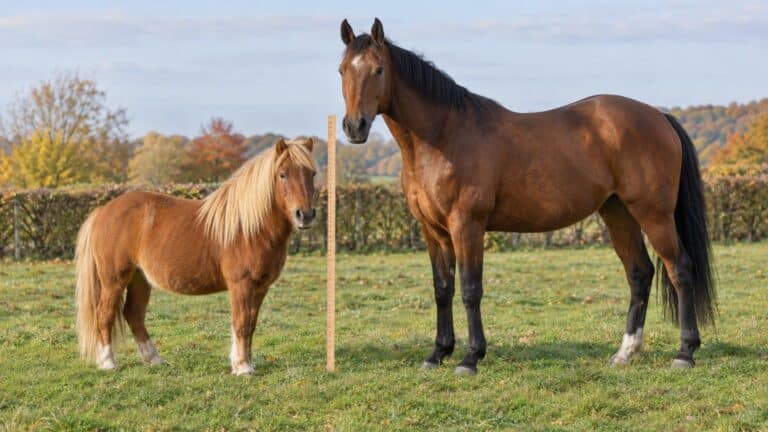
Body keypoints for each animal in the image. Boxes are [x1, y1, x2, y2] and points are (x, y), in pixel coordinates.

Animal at [75, 138, 317, 375]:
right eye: (283, 174)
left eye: (312, 173)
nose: (305, 215)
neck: (249, 228)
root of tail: (102, 211)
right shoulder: (241, 285)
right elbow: (241, 323)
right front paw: (242, 367)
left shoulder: (260, 288)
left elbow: (251, 324)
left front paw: (247, 363)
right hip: (114, 280)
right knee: (105, 314)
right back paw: (108, 363)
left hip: (140, 279)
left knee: (134, 315)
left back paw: (155, 360)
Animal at [337, 19, 716, 375]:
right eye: (342, 70)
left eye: (379, 70)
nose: (355, 127)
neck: (443, 137)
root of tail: (658, 116)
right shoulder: (433, 231)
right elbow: (442, 289)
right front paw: (437, 354)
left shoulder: (467, 226)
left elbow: (470, 289)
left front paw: (471, 358)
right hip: (618, 213)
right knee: (640, 273)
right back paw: (625, 353)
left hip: (653, 214)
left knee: (680, 269)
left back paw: (685, 352)